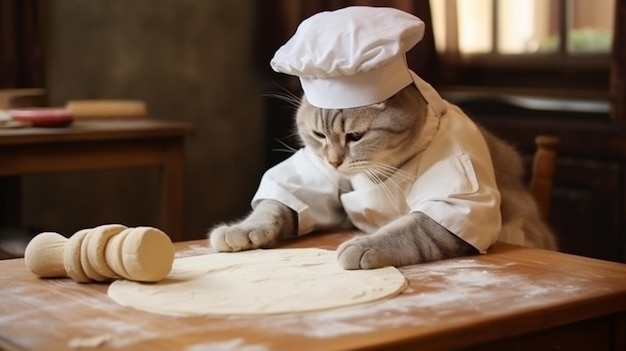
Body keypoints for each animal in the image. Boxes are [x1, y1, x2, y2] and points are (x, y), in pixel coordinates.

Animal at [210, 84, 556, 270]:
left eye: (356, 136)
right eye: (319, 135)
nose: (333, 161)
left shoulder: (456, 197)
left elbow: (411, 230)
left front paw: (364, 245)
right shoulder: (315, 174)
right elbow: (279, 205)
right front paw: (245, 229)